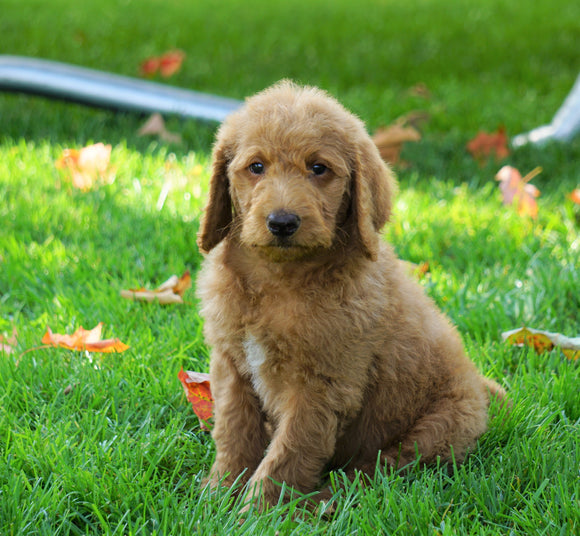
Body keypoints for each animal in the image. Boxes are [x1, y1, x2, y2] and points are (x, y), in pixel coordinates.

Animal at [195, 80, 502, 506]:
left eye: (318, 168)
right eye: (256, 167)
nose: (282, 222)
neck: (279, 279)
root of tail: (480, 387)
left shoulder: (322, 383)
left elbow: (290, 451)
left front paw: (258, 509)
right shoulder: (231, 365)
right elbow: (234, 430)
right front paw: (219, 493)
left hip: (438, 428)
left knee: (378, 471)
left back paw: (324, 501)